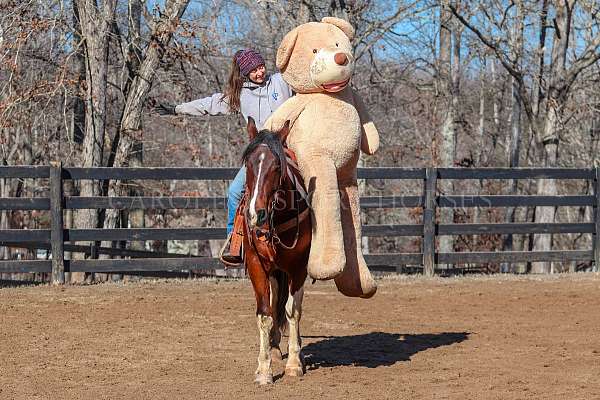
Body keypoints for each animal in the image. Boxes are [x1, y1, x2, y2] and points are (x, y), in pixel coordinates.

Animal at [241, 116, 312, 384]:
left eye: (276, 167)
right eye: (248, 164)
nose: (255, 214)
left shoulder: (298, 267)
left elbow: (293, 311)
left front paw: (294, 364)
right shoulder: (256, 264)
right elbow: (265, 313)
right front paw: (263, 370)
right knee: (273, 304)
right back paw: (272, 346)